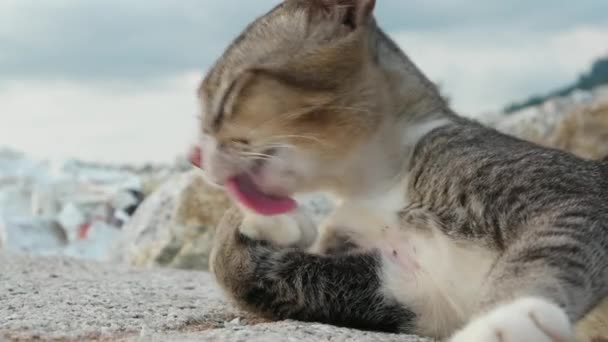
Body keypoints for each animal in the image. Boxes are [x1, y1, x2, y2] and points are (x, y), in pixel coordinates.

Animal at [194, 0, 608, 340]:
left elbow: (544, 252)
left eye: (231, 92)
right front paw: (265, 222)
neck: (376, 185)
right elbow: (241, 269)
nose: (194, 155)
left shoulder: (576, 196)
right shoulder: (412, 291)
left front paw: (506, 320)